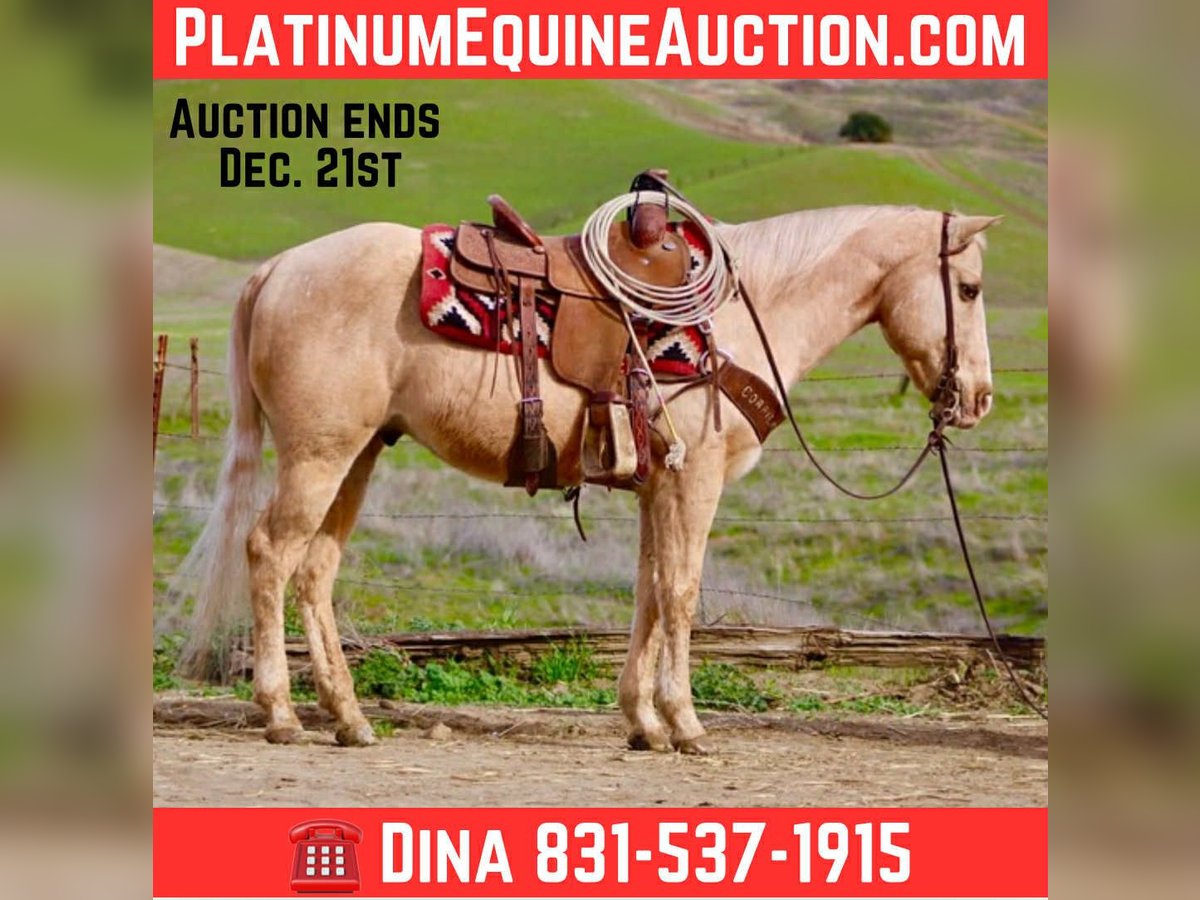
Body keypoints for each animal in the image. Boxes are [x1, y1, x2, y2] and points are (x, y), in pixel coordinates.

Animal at [176, 204, 1000, 753]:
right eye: (968, 289)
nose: (979, 398)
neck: (743, 313)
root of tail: (276, 269)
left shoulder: (657, 487)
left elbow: (649, 594)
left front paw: (643, 723)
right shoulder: (695, 482)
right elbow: (682, 593)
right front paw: (686, 723)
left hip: (360, 454)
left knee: (315, 569)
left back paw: (349, 719)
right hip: (319, 454)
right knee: (268, 552)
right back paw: (281, 715)